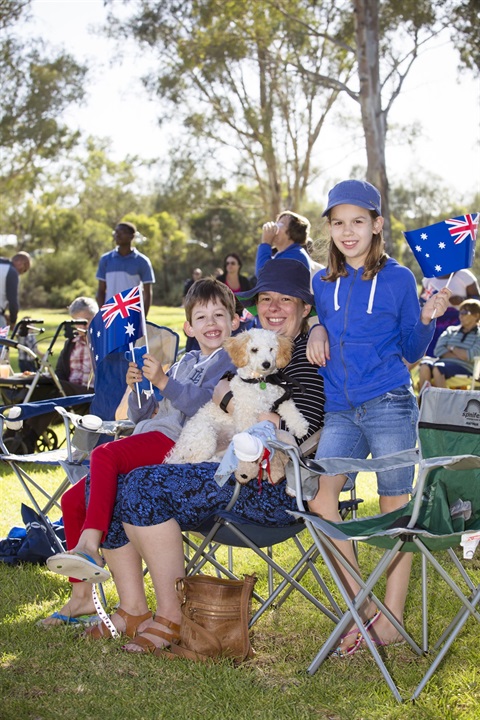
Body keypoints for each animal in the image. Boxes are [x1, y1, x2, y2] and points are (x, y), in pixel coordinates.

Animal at [166, 330, 308, 464]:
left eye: (271, 349)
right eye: (254, 350)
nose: (266, 364)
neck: (259, 382)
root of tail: (177, 452)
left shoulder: (281, 399)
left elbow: (292, 411)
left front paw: (300, 427)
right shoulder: (246, 415)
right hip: (206, 435)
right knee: (194, 460)